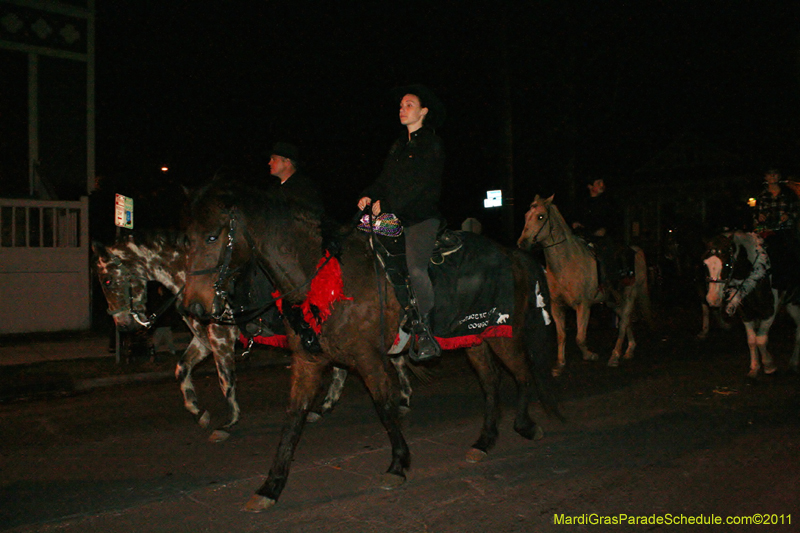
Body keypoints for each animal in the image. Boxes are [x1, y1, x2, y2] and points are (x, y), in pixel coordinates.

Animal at [180, 179, 564, 512]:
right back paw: (484, 442)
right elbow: (293, 419)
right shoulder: (308, 361)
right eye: (186, 241)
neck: (324, 276)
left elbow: (384, 406)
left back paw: (526, 426)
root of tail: (512, 254)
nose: (193, 307)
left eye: (213, 236)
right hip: (473, 337)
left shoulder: (368, 358)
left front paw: (398, 464)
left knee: (523, 375)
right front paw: (270, 487)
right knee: (490, 382)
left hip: (503, 333)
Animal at [516, 194, 652, 374]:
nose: (522, 243)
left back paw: (615, 356)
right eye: (526, 215)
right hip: (612, 301)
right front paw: (560, 364)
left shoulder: (583, 305)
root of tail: (635, 250)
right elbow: (561, 336)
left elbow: (580, 337)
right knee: (626, 318)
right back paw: (629, 349)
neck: (567, 264)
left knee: (623, 322)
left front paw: (590, 355)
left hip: (630, 294)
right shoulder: (557, 306)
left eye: (540, 216)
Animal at [704, 231, 796, 376]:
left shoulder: (769, 312)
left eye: (726, 265)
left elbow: (761, 340)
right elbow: (752, 340)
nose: (712, 299)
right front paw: (754, 367)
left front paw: (769, 365)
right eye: (705, 264)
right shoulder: (745, 313)